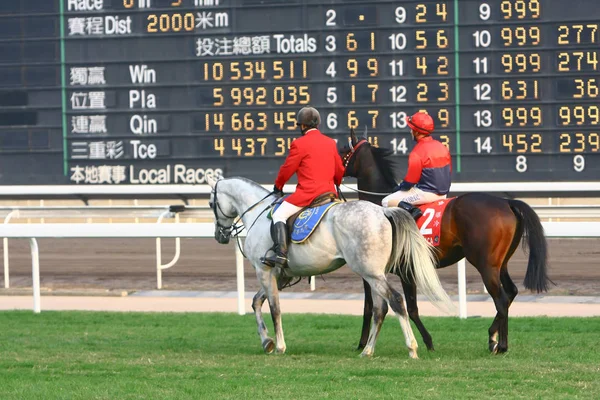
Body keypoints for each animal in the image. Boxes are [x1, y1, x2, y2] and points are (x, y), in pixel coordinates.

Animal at [340, 128, 552, 354]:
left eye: (343, 151)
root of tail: (507, 202)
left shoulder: (394, 270)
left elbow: (394, 307)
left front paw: (424, 341)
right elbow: (395, 306)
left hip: (485, 264)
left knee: (501, 299)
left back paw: (500, 344)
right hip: (500, 263)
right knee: (511, 292)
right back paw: (492, 337)